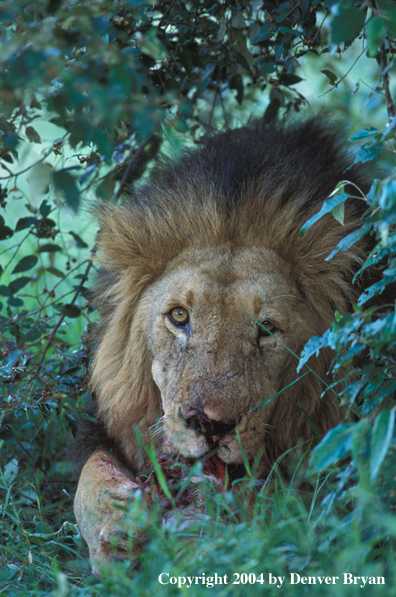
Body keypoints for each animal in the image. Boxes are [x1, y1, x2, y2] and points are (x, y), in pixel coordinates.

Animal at [72, 117, 372, 572]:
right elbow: (89, 476)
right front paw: (118, 525)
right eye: (180, 317)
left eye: (266, 328)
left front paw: (201, 534)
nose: (210, 425)